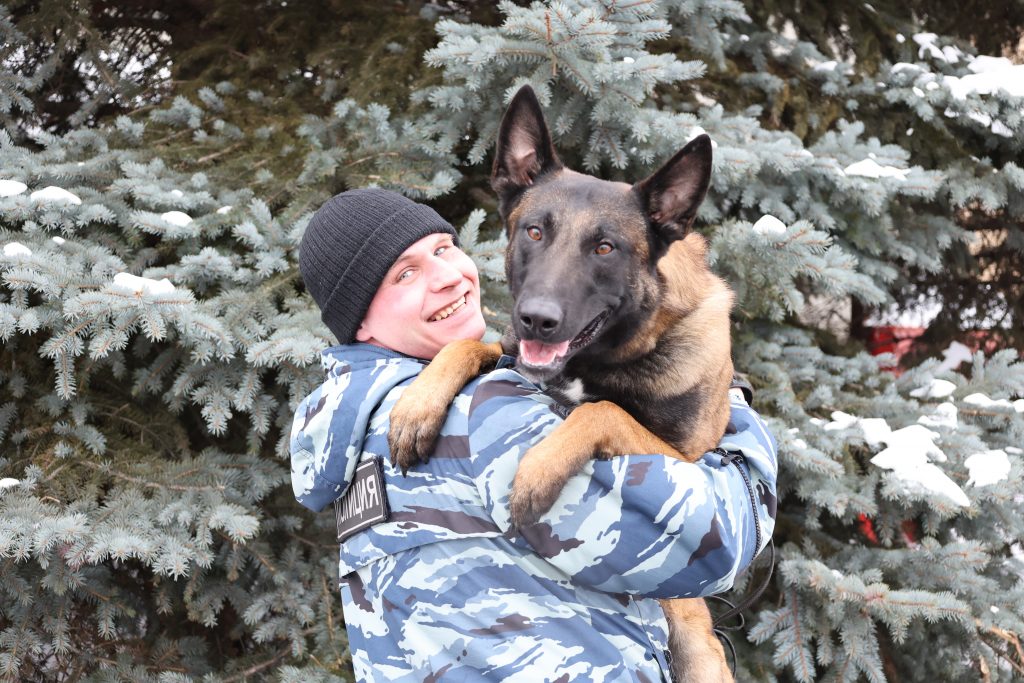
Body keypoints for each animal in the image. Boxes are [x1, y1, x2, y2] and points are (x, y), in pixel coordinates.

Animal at [387, 87, 733, 683]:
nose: (537, 320)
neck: (604, 358)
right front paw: (416, 405)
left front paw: (538, 469)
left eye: (605, 248)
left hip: (700, 649)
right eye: (534, 231)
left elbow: (602, 411)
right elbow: (466, 345)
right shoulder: (512, 351)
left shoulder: (690, 466)